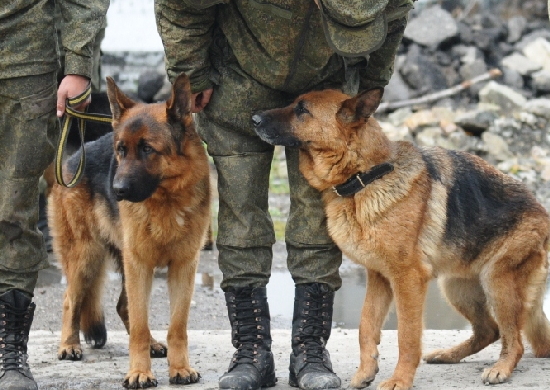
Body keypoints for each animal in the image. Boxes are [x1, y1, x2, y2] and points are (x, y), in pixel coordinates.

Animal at [48, 72, 211, 386]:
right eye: (121, 151)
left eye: (148, 149)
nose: (117, 190)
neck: (166, 201)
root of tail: (72, 161)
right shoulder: (139, 264)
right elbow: (138, 325)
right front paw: (139, 372)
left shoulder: (183, 267)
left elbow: (177, 326)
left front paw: (180, 367)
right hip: (86, 258)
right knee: (69, 300)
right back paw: (69, 345)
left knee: (123, 307)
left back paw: (153, 344)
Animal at [256, 88, 550, 390]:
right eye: (294, 103)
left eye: (302, 110)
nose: (254, 118)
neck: (365, 176)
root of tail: (541, 210)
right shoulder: (378, 277)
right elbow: (366, 325)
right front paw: (366, 371)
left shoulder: (407, 279)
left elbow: (407, 335)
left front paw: (400, 379)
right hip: (456, 287)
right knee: (488, 331)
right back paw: (448, 354)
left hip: (497, 282)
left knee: (514, 340)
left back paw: (501, 368)